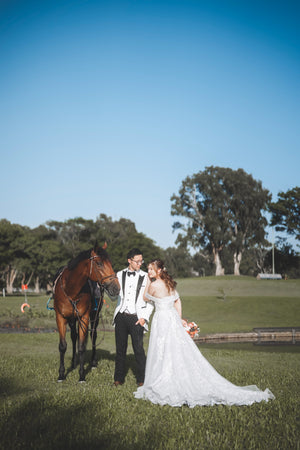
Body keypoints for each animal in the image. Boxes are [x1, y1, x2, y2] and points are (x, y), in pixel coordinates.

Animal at [54, 244, 119, 382]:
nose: (116, 287)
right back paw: (74, 362)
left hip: (95, 316)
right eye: (99, 263)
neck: (71, 290)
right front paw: (61, 374)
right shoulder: (61, 317)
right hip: (72, 319)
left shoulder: (83, 317)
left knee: (93, 335)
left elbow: (82, 346)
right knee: (74, 336)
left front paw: (82, 375)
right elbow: (63, 346)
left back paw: (93, 363)